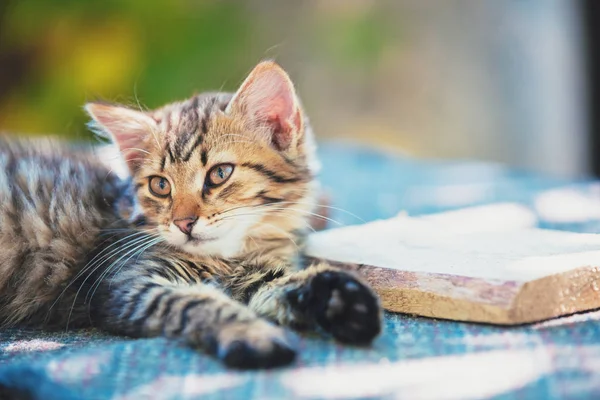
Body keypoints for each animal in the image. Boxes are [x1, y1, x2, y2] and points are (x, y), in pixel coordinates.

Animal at [0, 61, 382, 368]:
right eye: (160, 186)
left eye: (219, 174)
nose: (183, 223)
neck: (232, 255)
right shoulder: (126, 282)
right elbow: (196, 303)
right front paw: (252, 336)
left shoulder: (254, 277)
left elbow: (280, 286)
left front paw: (341, 301)